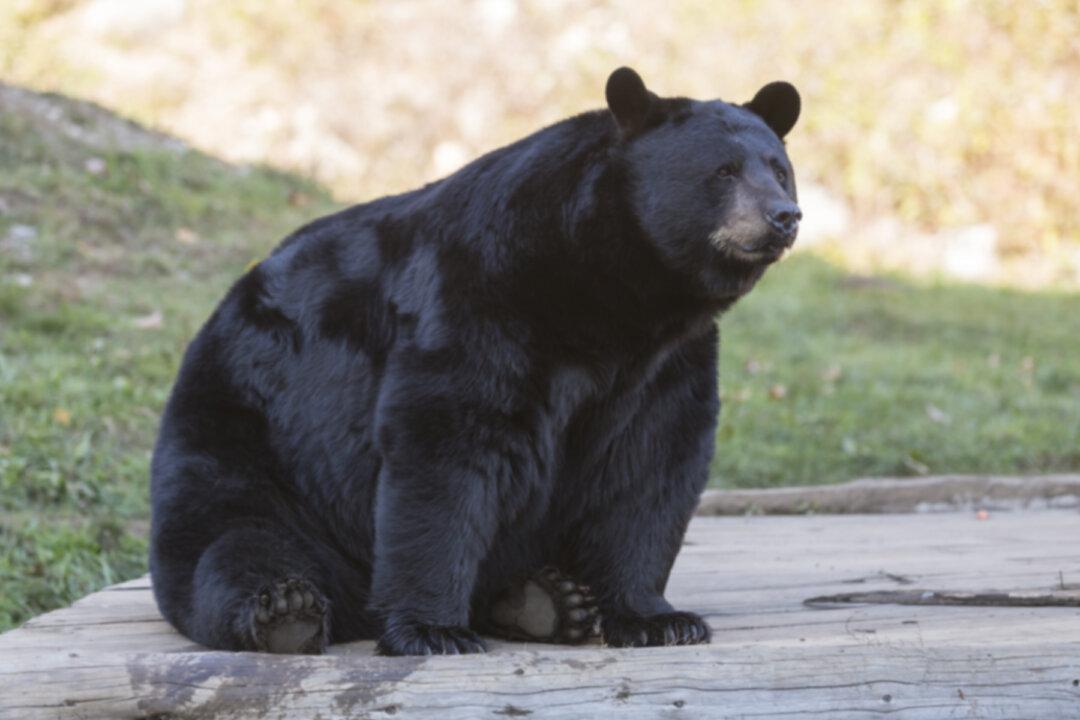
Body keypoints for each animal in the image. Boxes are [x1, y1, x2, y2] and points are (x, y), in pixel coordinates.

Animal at [149, 66, 801, 656]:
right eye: (723, 171)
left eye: (779, 169)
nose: (784, 216)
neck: (611, 293)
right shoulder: (479, 294)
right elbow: (446, 445)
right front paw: (432, 629)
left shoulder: (666, 361)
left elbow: (651, 465)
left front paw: (658, 619)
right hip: (253, 442)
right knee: (234, 542)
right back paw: (287, 611)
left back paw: (546, 600)